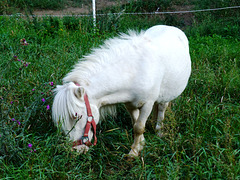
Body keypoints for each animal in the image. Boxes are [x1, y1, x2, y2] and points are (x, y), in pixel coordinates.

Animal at [52, 25, 191, 156]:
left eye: (77, 116)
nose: (75, 150)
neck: (134, 72)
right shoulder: (130, 104)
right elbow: (135, 124)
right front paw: (141, 144)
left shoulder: (148, 104)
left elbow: (139, 127)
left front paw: (133, 152)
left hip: (167, 94)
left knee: (162, 108)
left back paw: (159, 131)